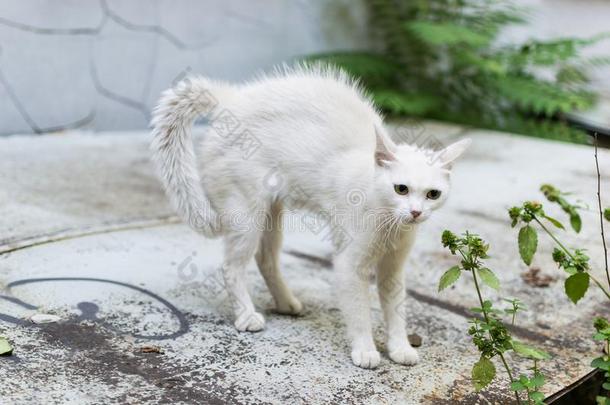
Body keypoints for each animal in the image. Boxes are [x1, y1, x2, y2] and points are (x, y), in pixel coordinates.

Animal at [150, 64, 468, 370]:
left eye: (433, 194)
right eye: (400, 189)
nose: (415, 212)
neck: (387, 219)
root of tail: (232, 100)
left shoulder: (394, 268)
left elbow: (395, 310)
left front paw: (400, 348)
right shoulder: (349, 265)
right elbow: (360, 313)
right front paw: (365, 350)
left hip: (271, 214)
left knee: (265, 259)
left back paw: (285, 302)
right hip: (246, 213)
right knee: (232, 266)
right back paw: (246, 316)